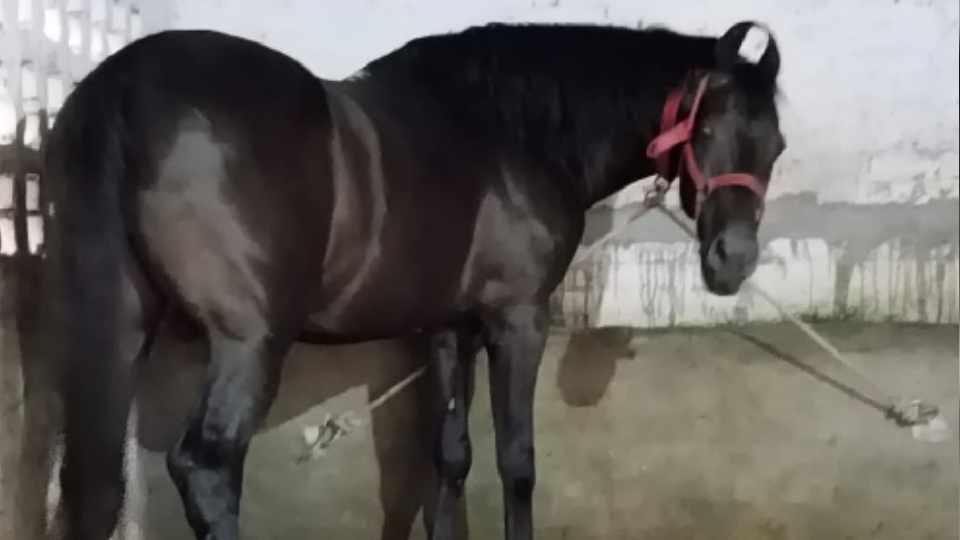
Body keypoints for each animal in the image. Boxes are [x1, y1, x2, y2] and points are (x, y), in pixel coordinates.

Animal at [40, 18, 785, 540]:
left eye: (775, 144)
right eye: (707, 127)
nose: (733, 260)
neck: (516, 132)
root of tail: (121, 88)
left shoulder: (448, 328)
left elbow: (449, 456)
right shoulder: (519, 320)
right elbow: (517, 462)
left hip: (115, 328)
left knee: (90, 486)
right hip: (249, 346)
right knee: (208, 470)